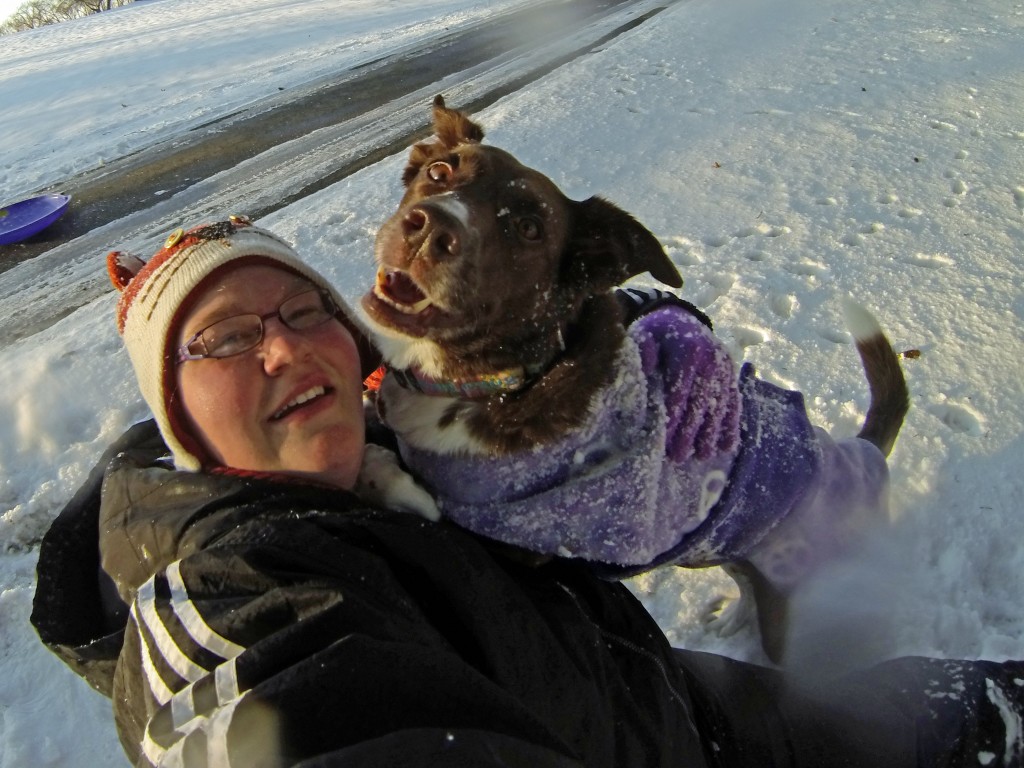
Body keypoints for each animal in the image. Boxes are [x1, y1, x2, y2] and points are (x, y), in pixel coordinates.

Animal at [360, 94, 905, 663]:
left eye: (529, 229)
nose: (428, 229)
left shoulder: (518, 545)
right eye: (439, 172)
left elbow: (421, 503)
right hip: (718, 546)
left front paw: (384, 476)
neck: (499, 384)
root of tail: (865, 456)